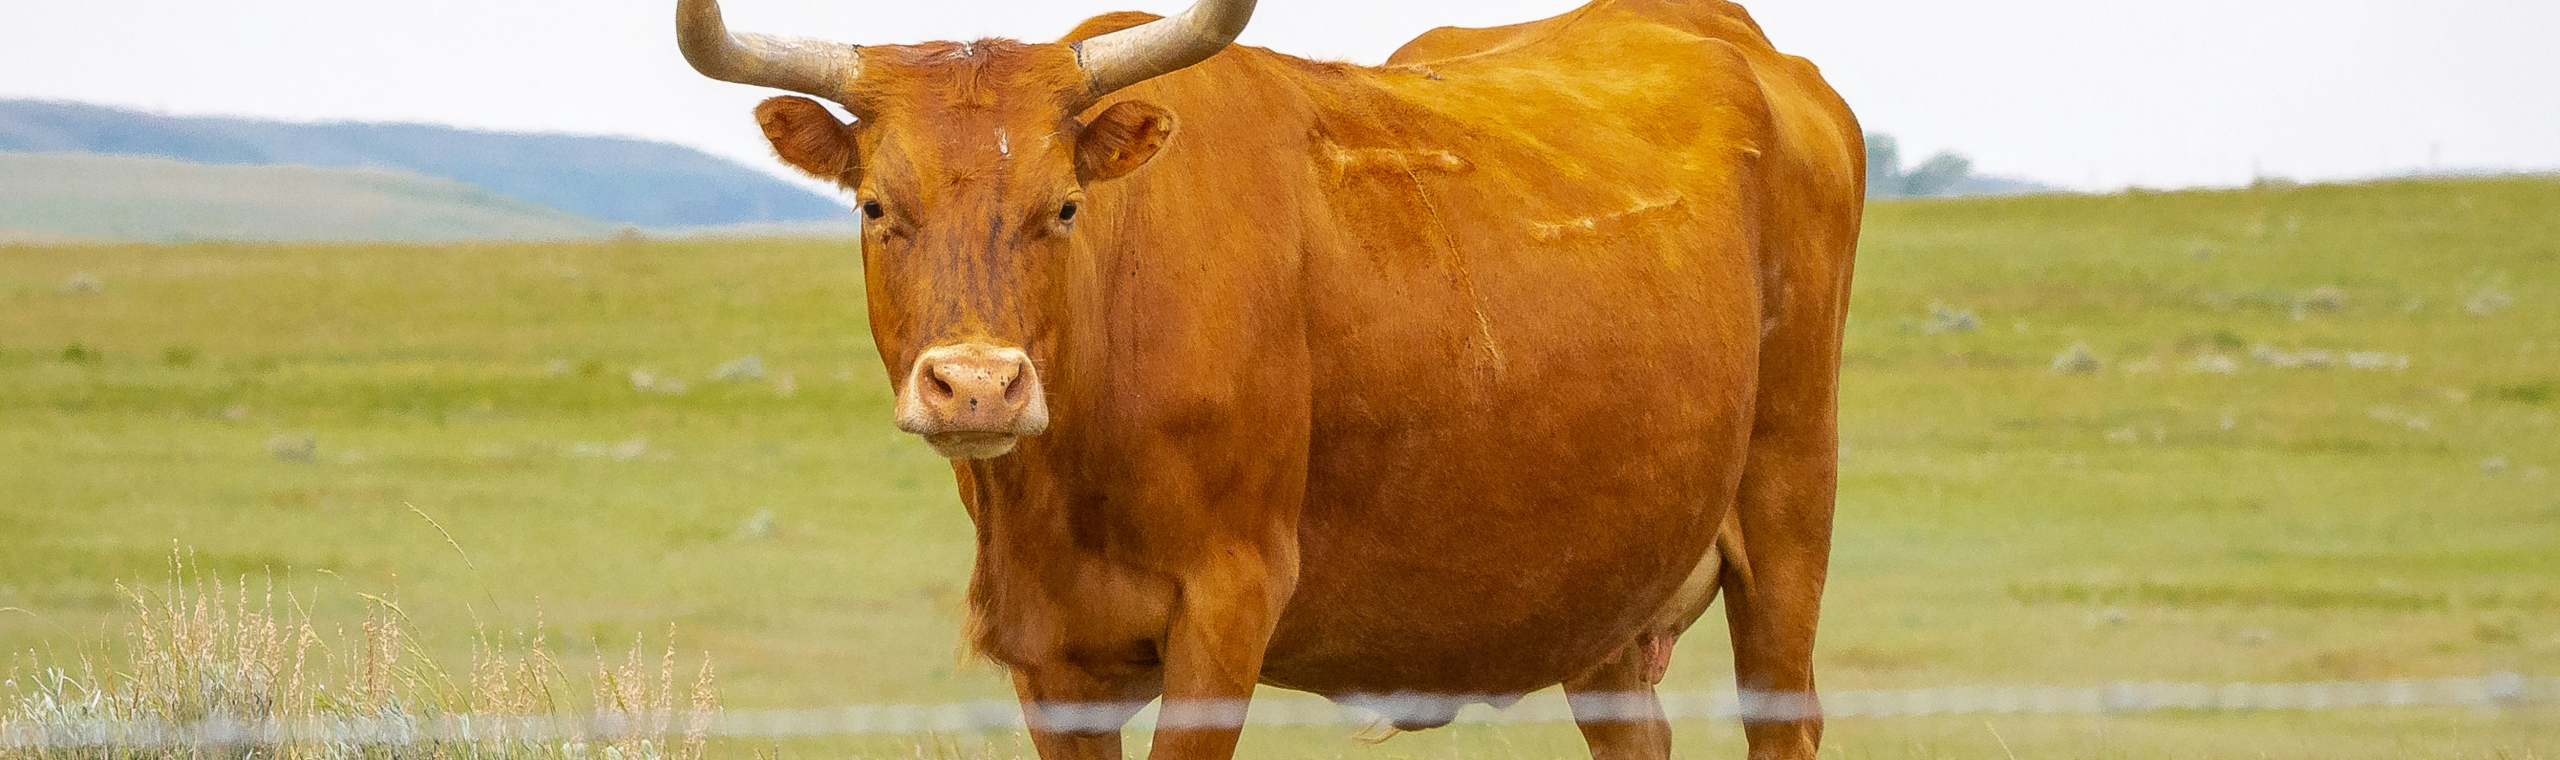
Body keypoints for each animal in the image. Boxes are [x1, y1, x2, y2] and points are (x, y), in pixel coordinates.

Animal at [674, 0, 1862, 757]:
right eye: (877, 205)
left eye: (1064, 206)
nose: (976, 386)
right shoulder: (1049, 653)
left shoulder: (1226, 606)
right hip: (1606, 588)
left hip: (1788, 508)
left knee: (1785, 713)